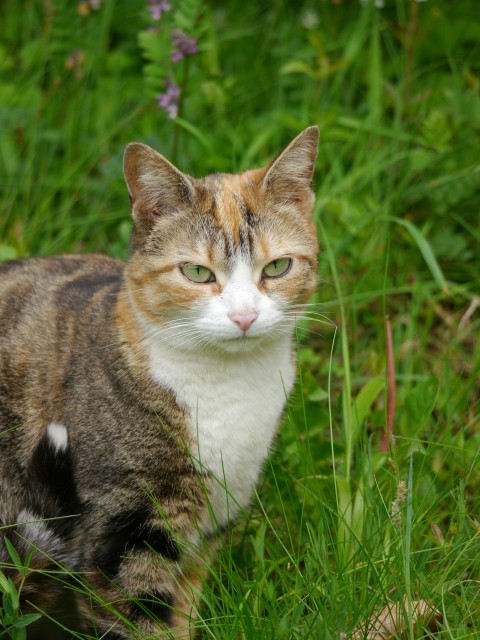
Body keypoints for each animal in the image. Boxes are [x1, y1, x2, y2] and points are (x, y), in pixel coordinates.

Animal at [0, 126, 322, 640]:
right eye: (196, 272)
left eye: (276, 267)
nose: (245, 317)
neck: (226, 388)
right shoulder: (126, 522)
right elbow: (138, 615)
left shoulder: (210, 521)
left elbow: (182, 610)